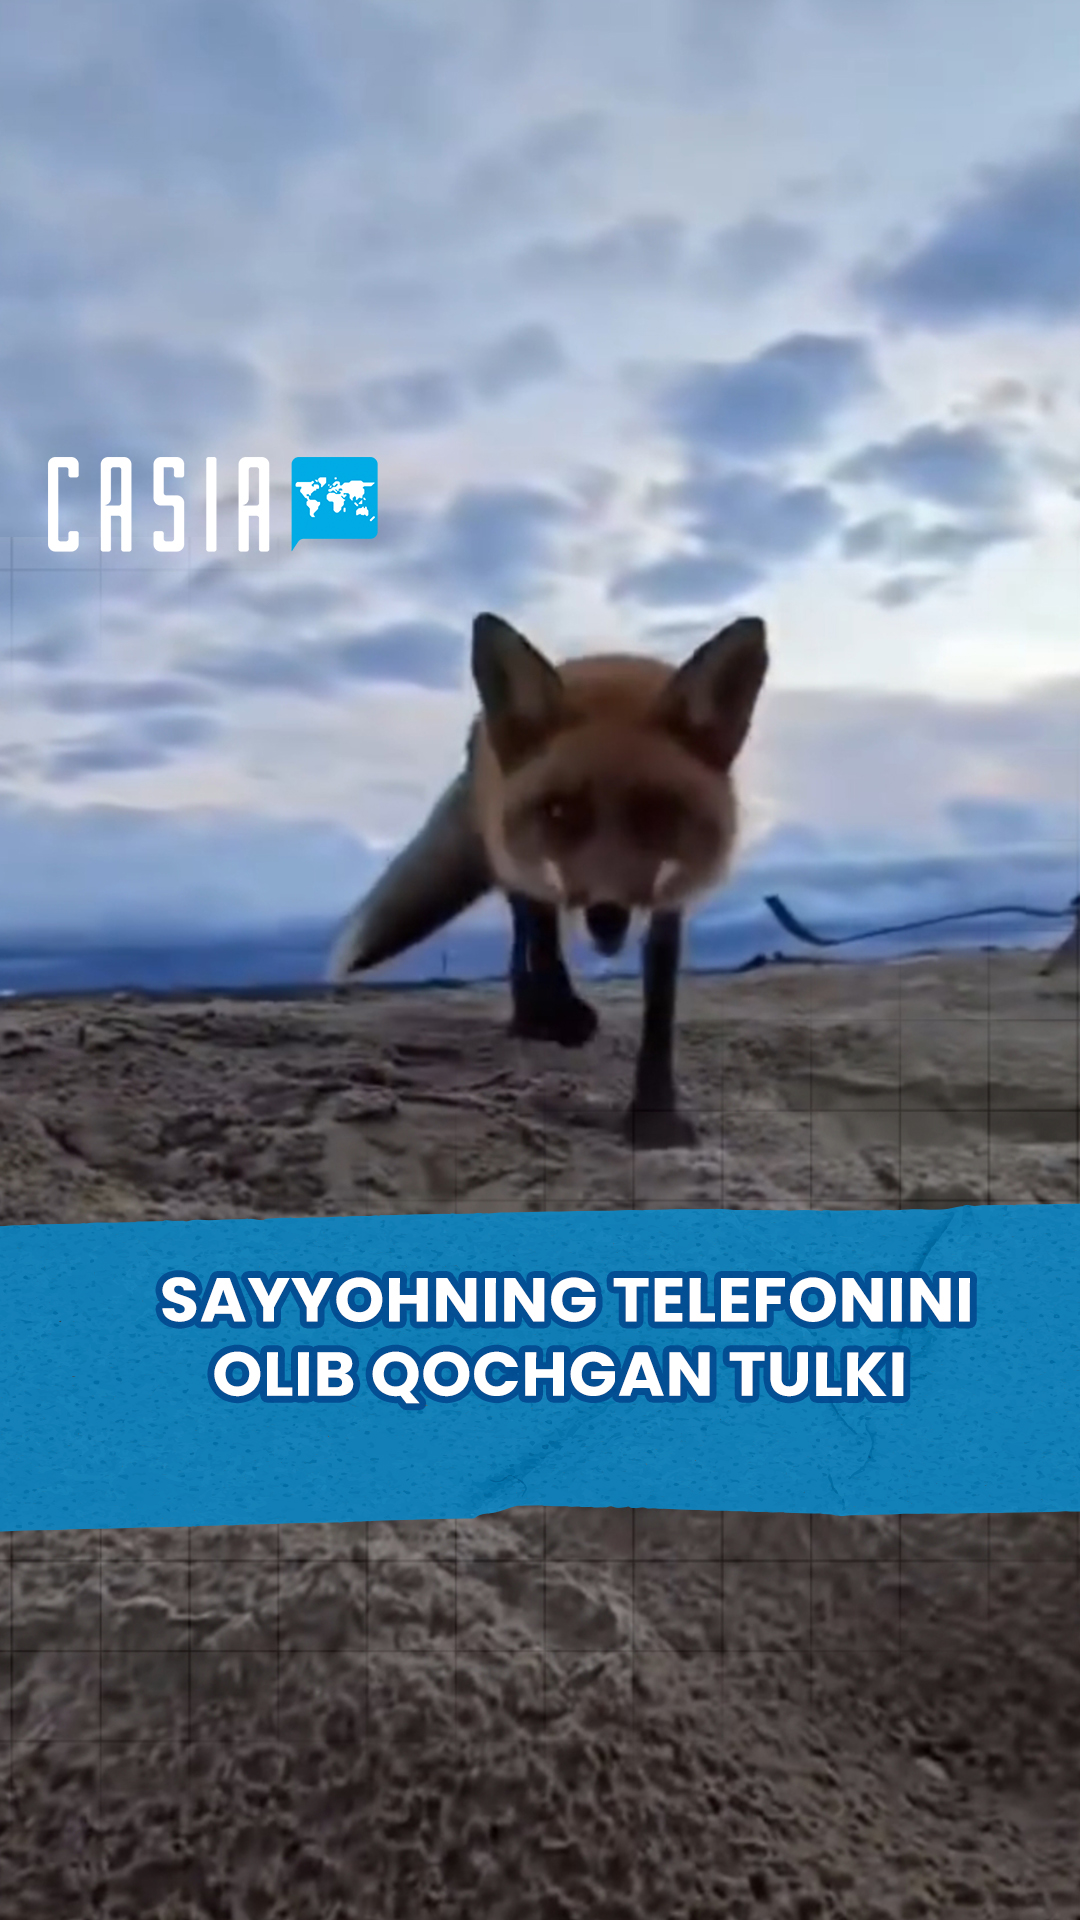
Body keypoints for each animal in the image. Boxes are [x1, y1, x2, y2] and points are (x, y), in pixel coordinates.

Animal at [329, 610, 768, 1148]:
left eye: (658, 815)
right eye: (559, 812)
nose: (606, 914)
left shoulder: (669, 902)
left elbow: (659, 1006)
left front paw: (654, 1115)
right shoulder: (532, 868)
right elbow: (542, 944)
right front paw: (561, 1015)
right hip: (509, 858)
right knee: (524, 940)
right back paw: (536, 1018)